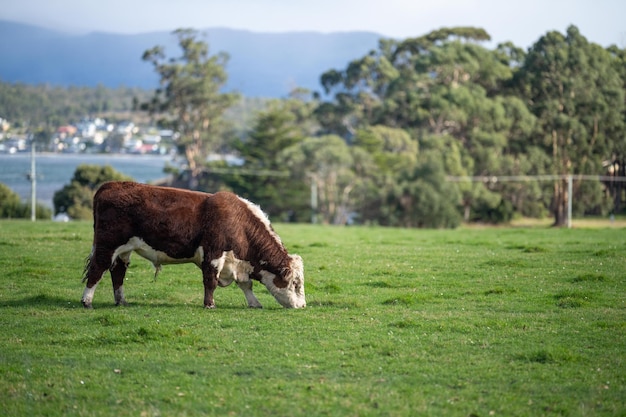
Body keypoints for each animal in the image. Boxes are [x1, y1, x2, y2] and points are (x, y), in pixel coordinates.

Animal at [80, 182, 304, 308]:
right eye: (295, 283)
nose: (302, 305)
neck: (238, 222)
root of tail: (110, 185)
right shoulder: (213, 254)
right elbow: (210, 281)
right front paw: (210, 304)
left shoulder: (237, 262)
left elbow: (245, 284)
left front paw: (254, 303)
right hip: (107, 244)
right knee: (97, 269)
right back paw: (87, 301)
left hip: (123, 250)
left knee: (118, 272)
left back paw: (121, 301)